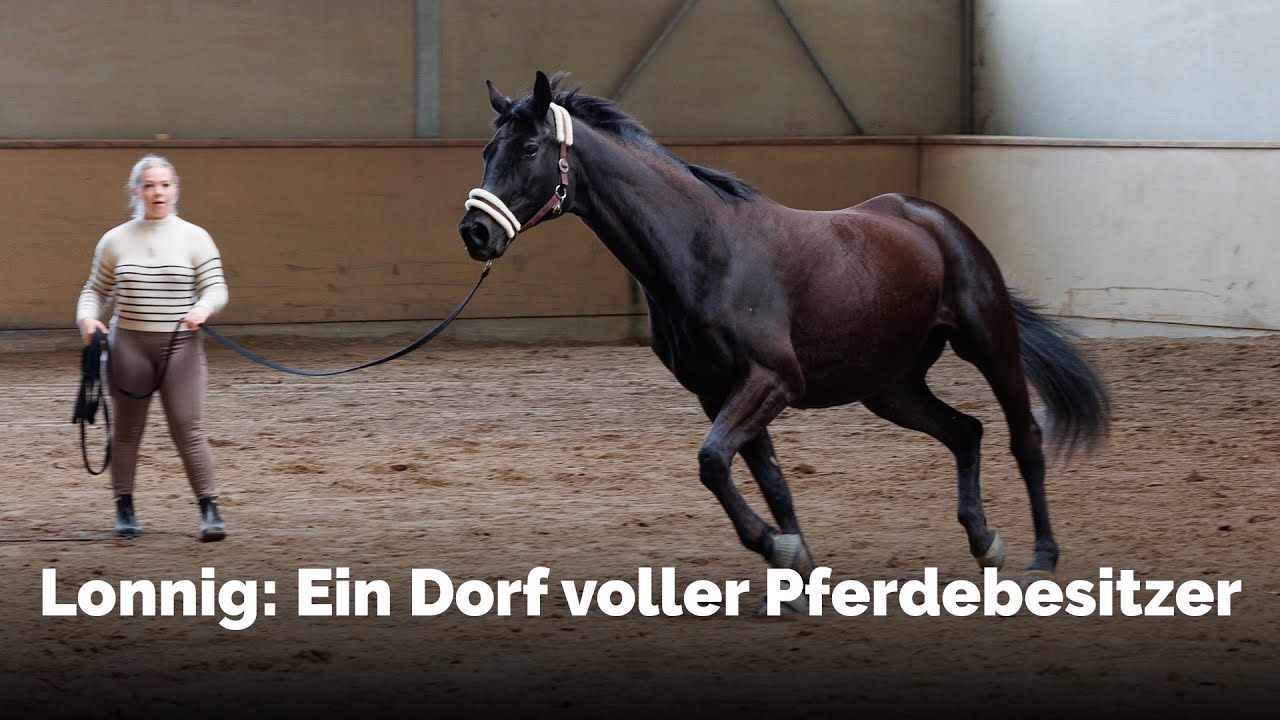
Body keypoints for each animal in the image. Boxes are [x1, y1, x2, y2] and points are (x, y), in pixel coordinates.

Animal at [457, 71, 1109, 592]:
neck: (705, 250)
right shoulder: (717, 391)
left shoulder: (771, 381)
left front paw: (779, 548)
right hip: (891, 387)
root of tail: (936, 219)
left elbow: (713, 462)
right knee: (966, 431)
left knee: (1025, 438)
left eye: (531, 147)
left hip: (989, 344)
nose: (475, 232)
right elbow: (766, 479)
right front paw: (796, 566)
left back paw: (1042, 557)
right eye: (488, 148)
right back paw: (984, 542)